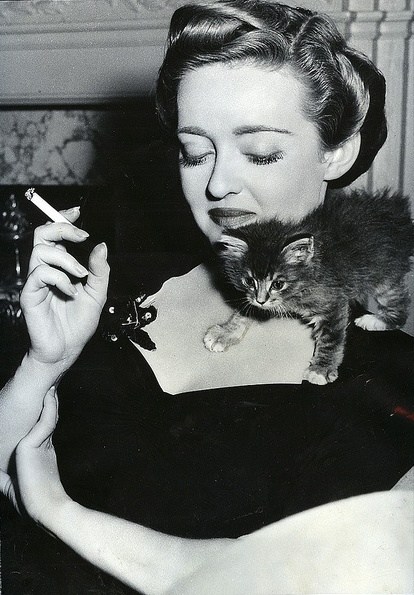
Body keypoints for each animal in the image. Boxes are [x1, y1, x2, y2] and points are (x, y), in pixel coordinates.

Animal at [204, 189, 414, 385]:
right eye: (249, 281)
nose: (261, 300)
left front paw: (321, 369)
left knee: (400, 308)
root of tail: (398, 212)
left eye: (278, 284)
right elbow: (244, 312)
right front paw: (224, 332)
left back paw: (375, 321)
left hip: (384, 276)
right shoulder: (262, 301)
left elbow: (331, 339)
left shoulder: (333, 302)